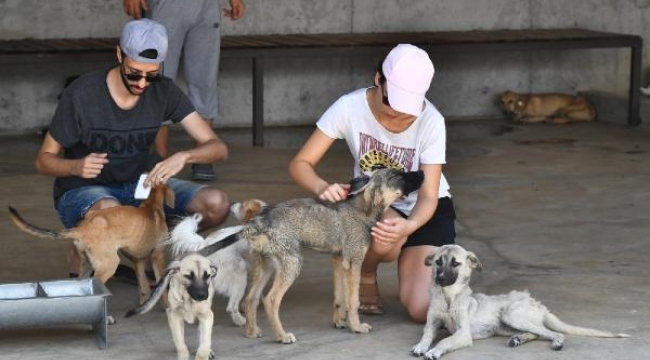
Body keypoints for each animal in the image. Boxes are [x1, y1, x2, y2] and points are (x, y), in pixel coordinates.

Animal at [8, 183, 175, 304]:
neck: (152, 205)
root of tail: (82, 228)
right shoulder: (157, 256)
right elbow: (162, 286)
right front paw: (167, 306)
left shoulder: (138, 259)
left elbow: (144, 284)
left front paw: (145, 301)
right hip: (108, 264)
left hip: (87, 265)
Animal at [410, 245, 628, 360]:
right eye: (438, 262)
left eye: (455, 263)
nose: (440, 279)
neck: (448, 297)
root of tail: (540, 304)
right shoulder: (432, 323)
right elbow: (426, 335)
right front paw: (421, 346)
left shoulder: (463, 334)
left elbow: (445, 340)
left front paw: (434, 351)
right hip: (505, 325)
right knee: (536, 332)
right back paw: (518, 339)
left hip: (511, 314)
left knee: (551, 332)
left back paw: (556, 342)